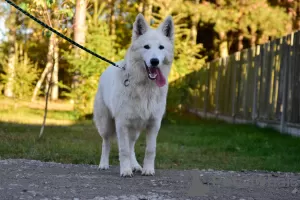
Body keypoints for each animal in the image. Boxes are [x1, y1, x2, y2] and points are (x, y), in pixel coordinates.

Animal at [92, 13, 175, 177]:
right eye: (146, 47)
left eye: (161, 47)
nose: (154, 61)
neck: (145, 87)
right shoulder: (122, 124)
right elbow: (123, 150)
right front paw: (125, 170)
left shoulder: (154, 124)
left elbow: (150, 150)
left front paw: (148, 169)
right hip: (106, 125)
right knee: (106, 143)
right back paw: (103, 164)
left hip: (134, 129)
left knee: (131, 146)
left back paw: (135, 165)